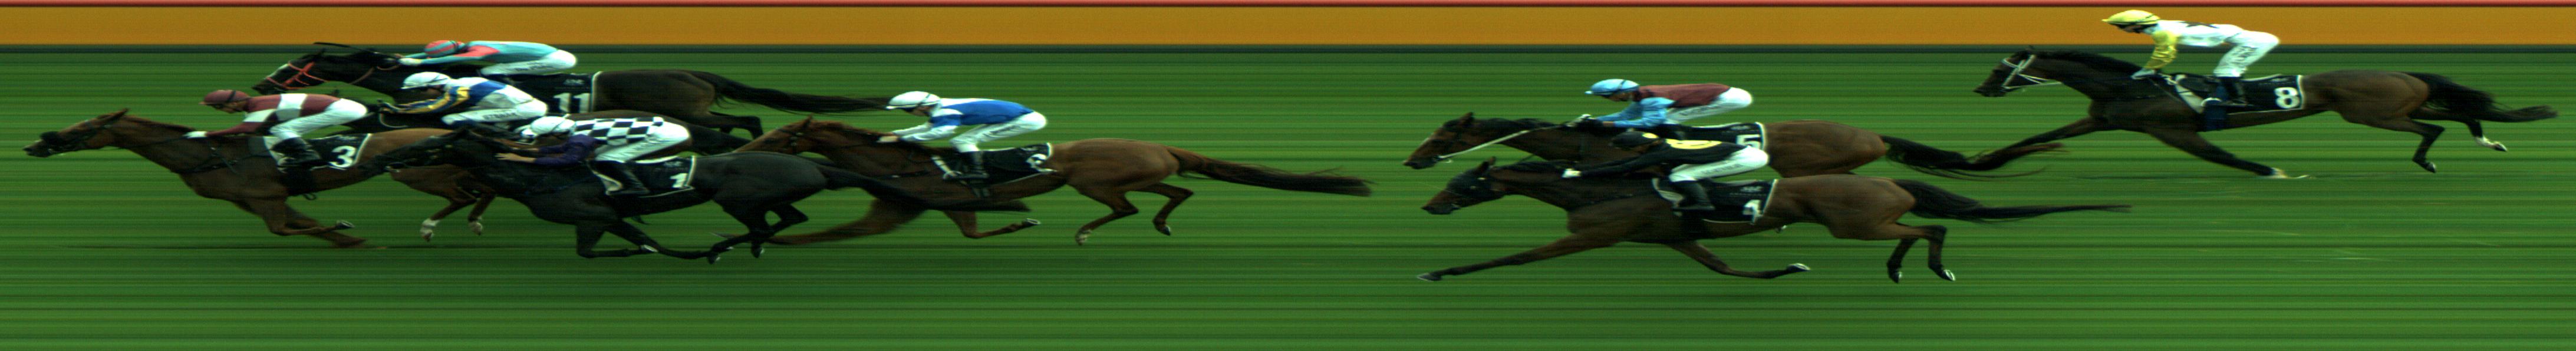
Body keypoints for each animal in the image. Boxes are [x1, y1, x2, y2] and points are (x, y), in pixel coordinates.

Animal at [23, 110, 497, 247]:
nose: (38, 144)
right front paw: (348, 238)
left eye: (85, 129)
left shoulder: (264, 196)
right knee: (481, 187)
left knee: (466, 192)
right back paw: (473, 221)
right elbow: (302, 225)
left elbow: (284, 230)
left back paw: (435, 225)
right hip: (442, 171)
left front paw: (345, 228)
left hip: (421, 175)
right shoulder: (257, 200)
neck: (207, 156)